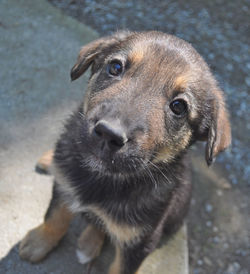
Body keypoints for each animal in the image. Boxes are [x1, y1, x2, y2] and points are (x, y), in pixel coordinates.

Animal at [19, 31, 230, 274]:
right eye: (116, 67)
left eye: (179, 107)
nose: (109, 134)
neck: (103, 177)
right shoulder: (64, 184)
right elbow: (55, 216)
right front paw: (39, 241)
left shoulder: (140, 241)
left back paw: (89, 244)